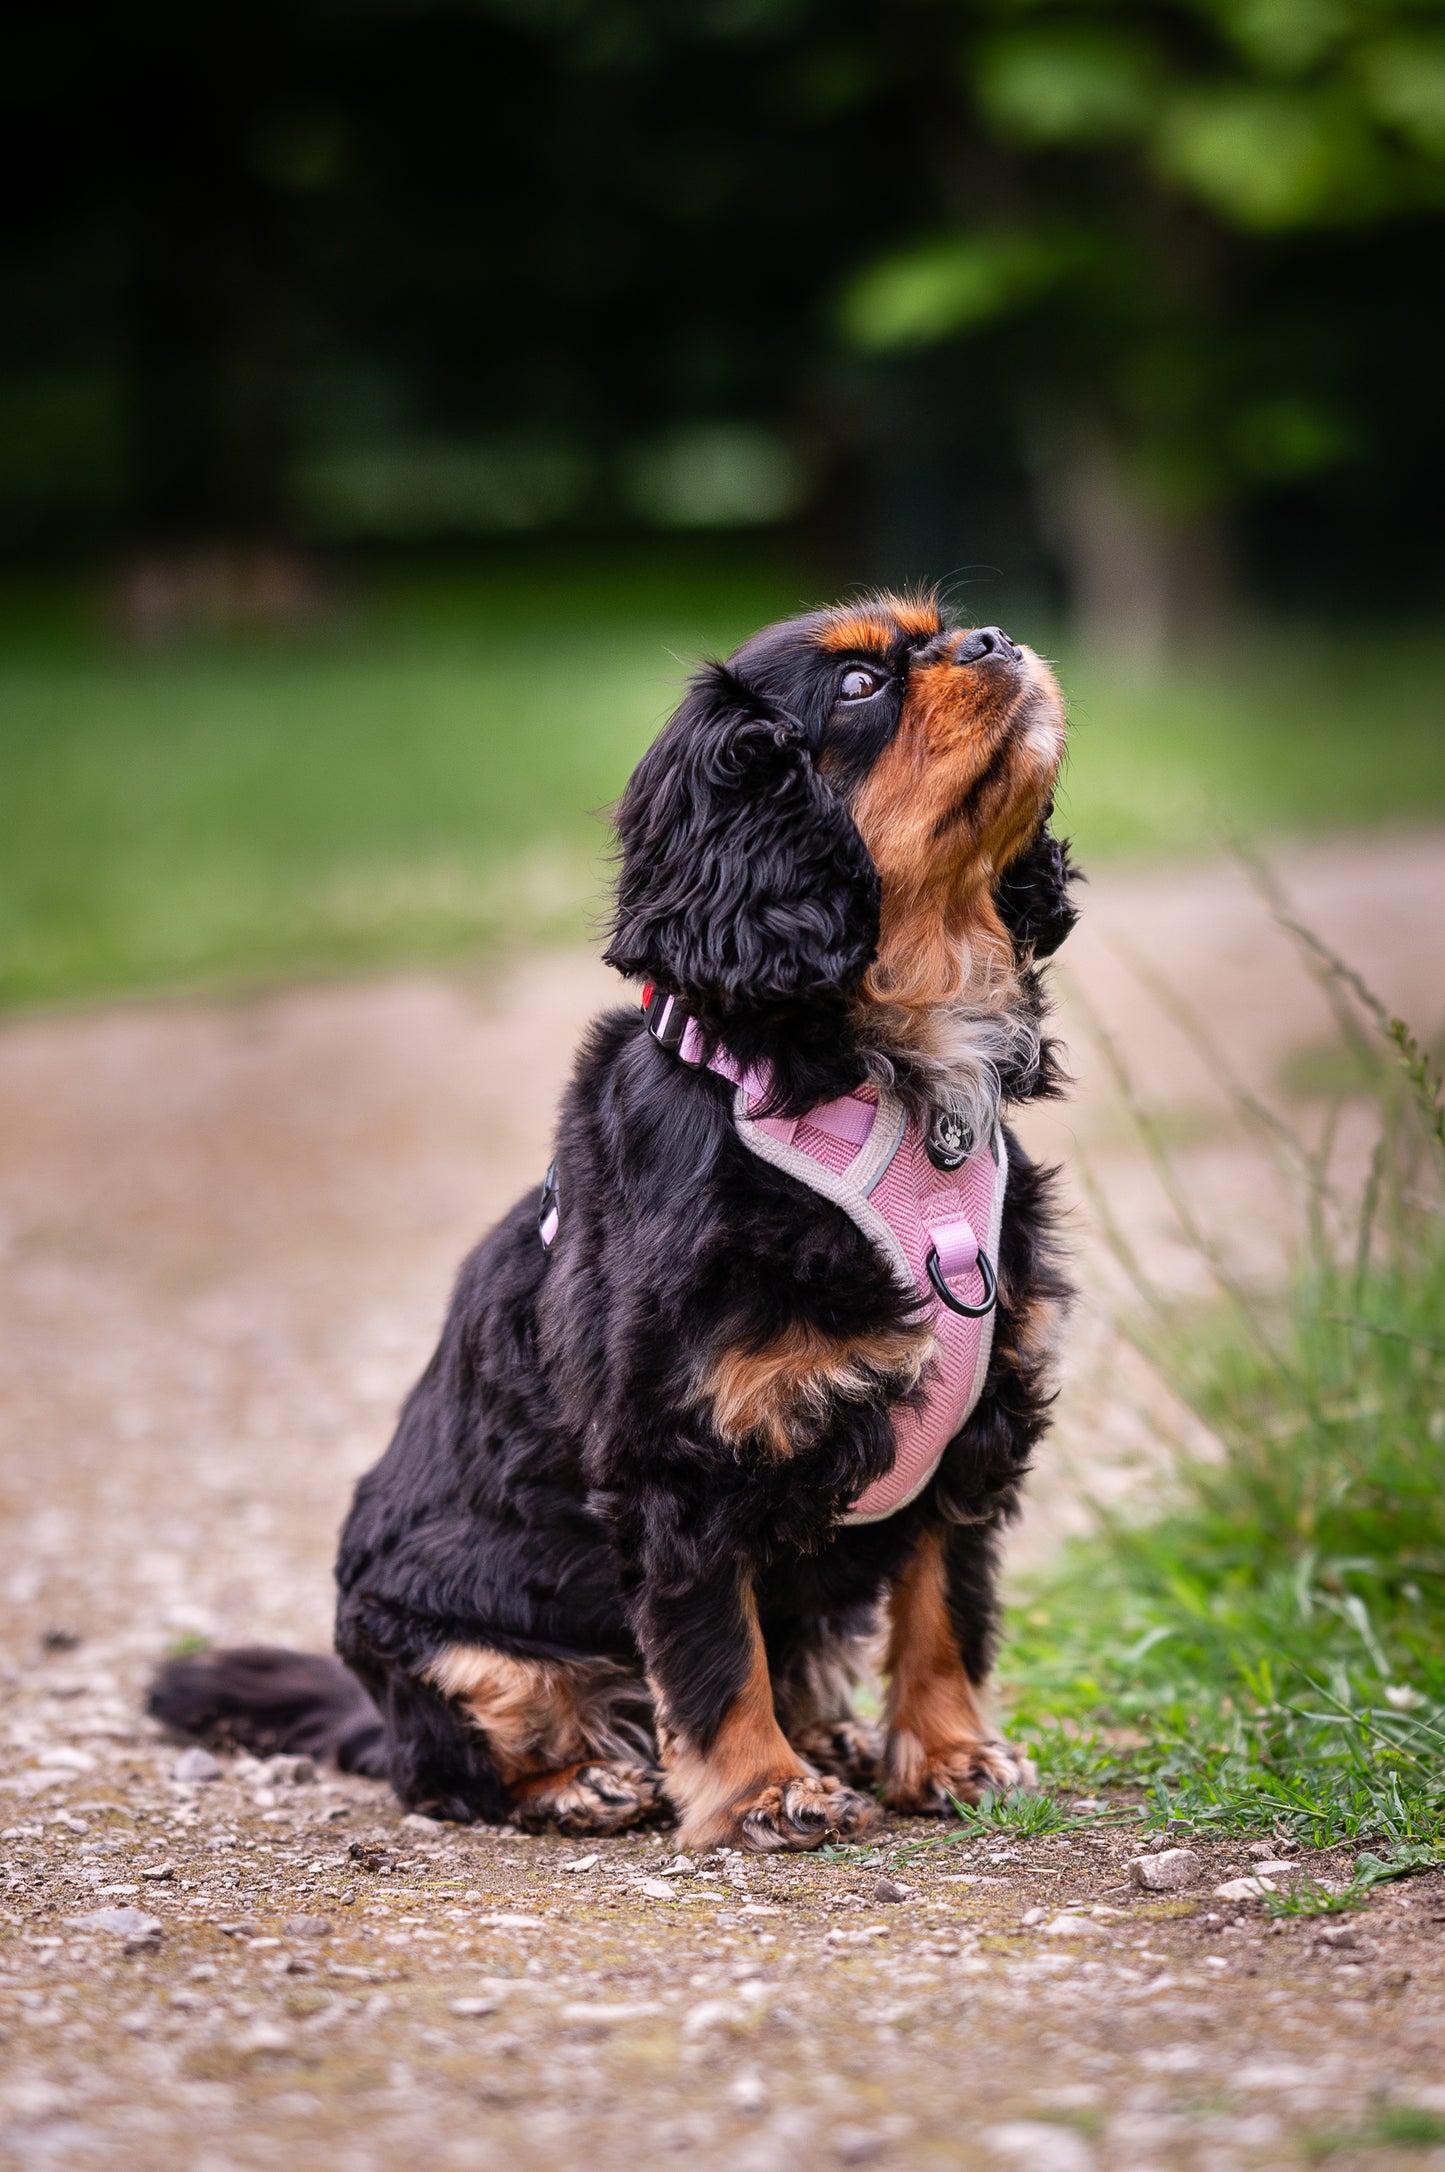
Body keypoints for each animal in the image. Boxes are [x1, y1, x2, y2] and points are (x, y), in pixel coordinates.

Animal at [152, 590, 1069, 1850]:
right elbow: (714, 1647)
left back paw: (829, 1740)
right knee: (442, 1767)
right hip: (442, 1646)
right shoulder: (676, 1456)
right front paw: (761, 1791)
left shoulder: (973, 1429)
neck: (877, 1078)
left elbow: (944, 1608)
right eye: (857, 687)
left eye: (941, 633)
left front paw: (945, 1756)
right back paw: (586, 1778)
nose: (995, 641)